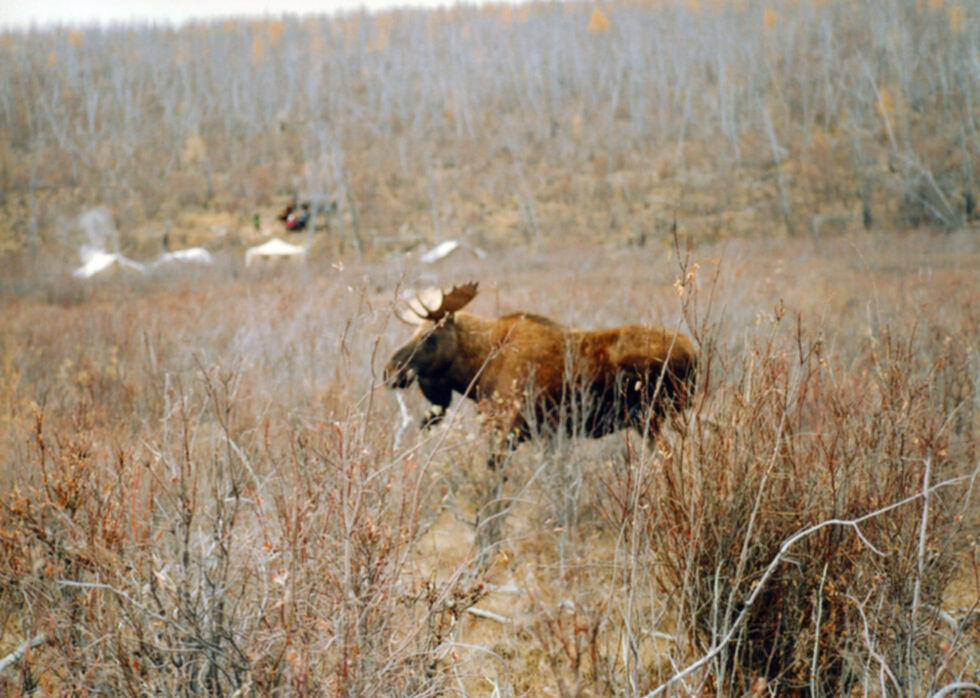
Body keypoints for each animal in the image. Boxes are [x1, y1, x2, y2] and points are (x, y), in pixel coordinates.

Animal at [382, 278, 696, 468]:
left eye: (429, 336)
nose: (389, 370)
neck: (477, 367)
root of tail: (694, 354)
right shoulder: (548, 434)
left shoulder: (508, 428)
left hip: (651, 417)